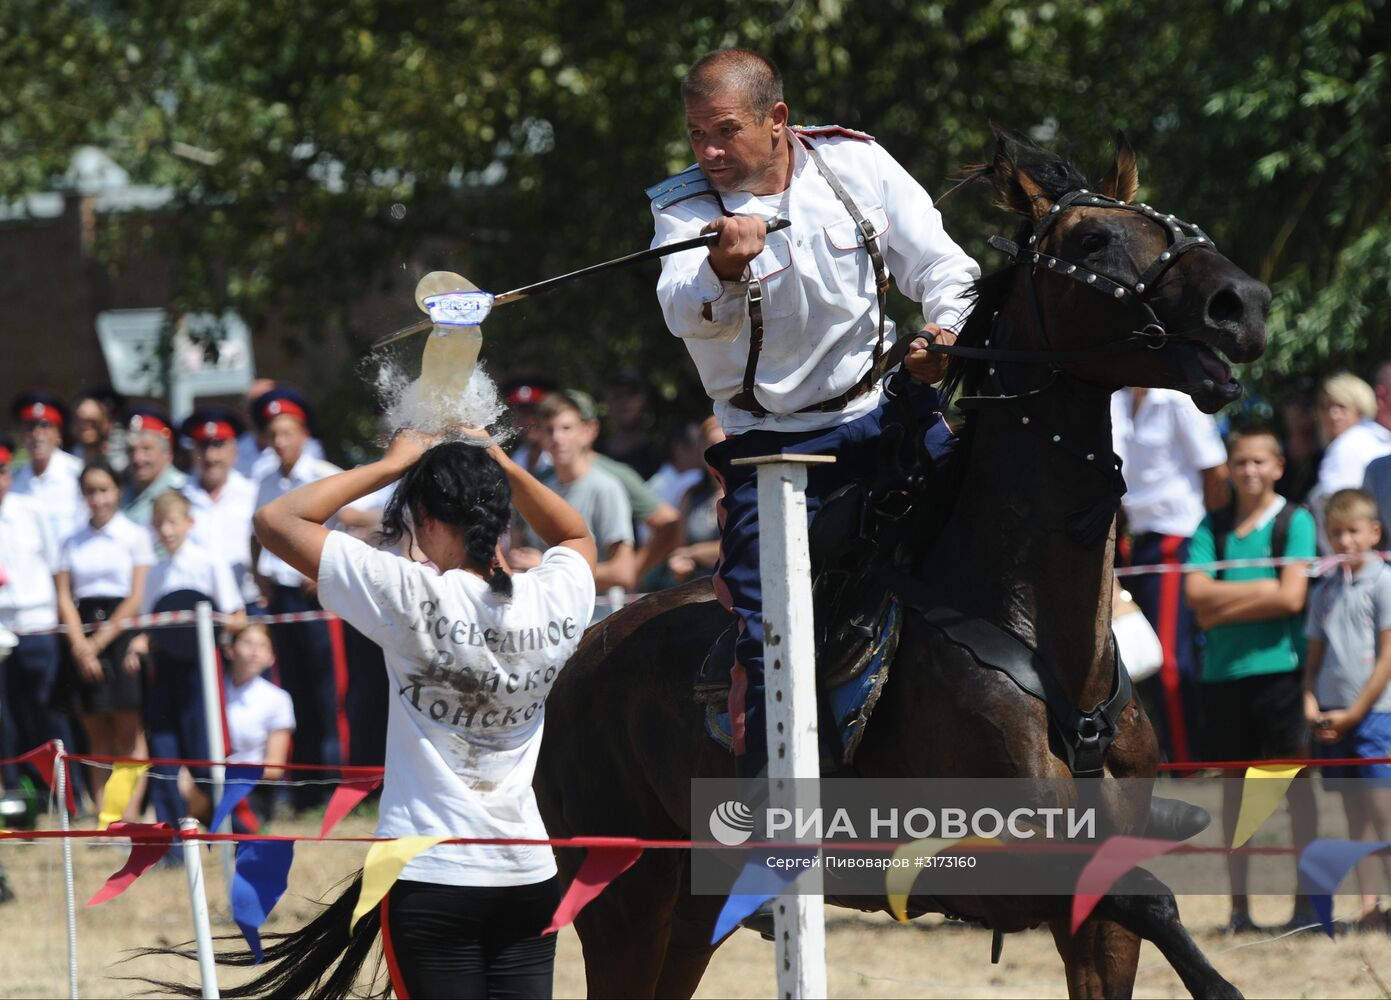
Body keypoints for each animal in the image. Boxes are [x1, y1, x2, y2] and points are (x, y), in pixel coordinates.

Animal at [531, 134, 1274, 1000]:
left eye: (1160, 221)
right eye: (1090, 240)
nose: (1242, 303)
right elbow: (1153, 898)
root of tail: (578, 660)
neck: (1038, 636)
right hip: (624, 901)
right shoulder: (984, 860)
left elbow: (1141, 904)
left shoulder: (1093, 929)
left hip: (685, 915)